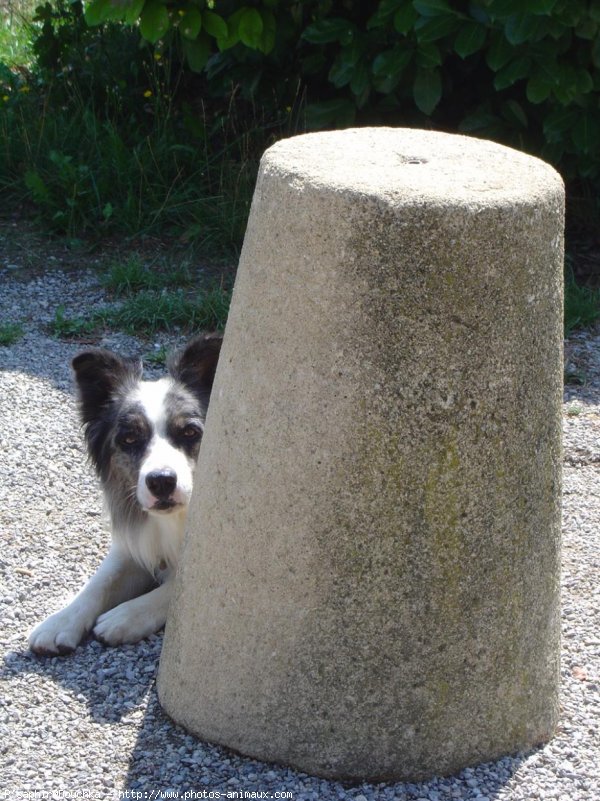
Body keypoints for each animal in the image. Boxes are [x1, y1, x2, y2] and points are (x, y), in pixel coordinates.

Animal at [29, 334, 221, 652]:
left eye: (190, 432)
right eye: (129, 438)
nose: (161, 482)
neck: (175, 518)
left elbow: (176, 588)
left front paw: (126, 616)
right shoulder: (136, 541)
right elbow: (101, 581)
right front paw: (59, 621)